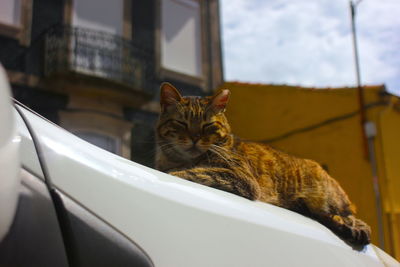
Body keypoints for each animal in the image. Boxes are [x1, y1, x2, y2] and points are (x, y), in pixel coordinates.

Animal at [155, 82, 372, 247]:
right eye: (181, 123)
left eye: (208, 125)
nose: (194, 138)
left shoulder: (241, 178)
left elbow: (196, 172)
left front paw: (175, 172)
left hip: (328, 199)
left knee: (349, 216)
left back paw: (356, 228)